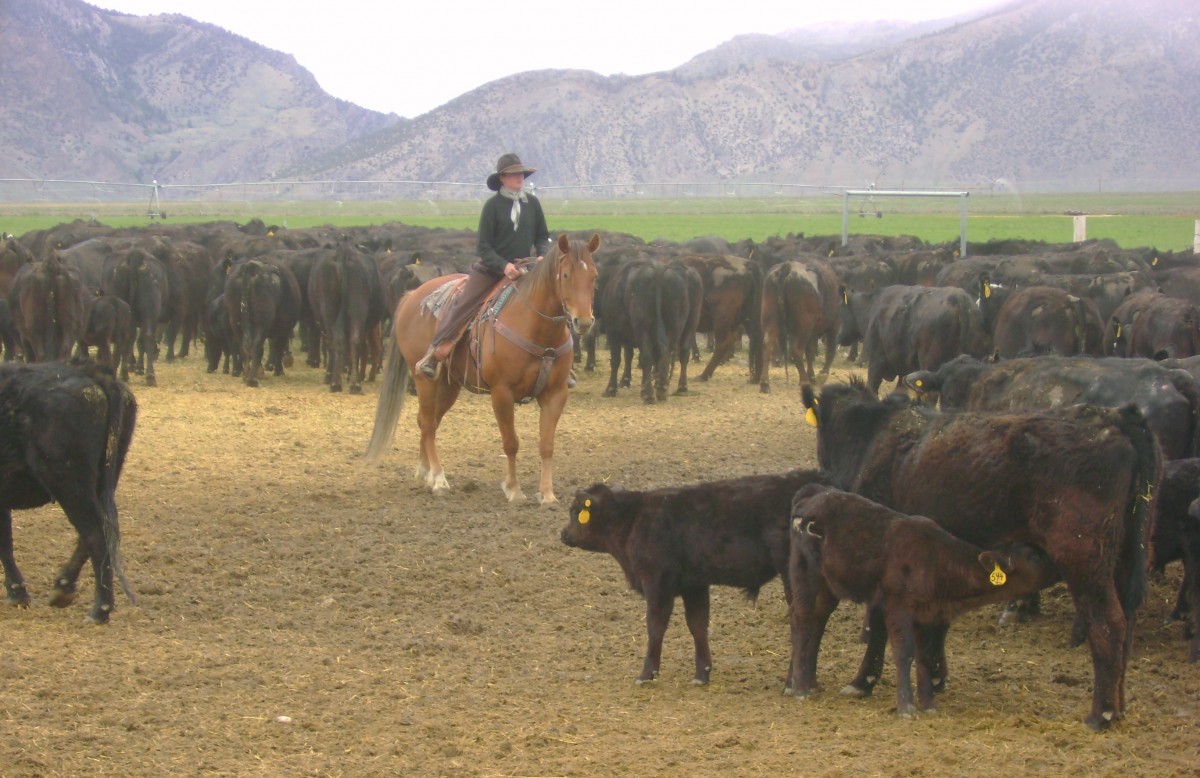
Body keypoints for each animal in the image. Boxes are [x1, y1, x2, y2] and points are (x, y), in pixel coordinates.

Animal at [0, 360, 137, 624]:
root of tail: (92, 374)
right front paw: (17, 593)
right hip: (101, 481)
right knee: (93, 533)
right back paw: (63, 587)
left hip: (68, 484)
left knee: (94, 533)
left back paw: (99, 609)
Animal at [360, 234, 595, 504]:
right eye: (565, 275)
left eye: (594, 275)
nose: (583, 321)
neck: (536, 328)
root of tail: (412, 295)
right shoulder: (502, 393)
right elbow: (511, 442)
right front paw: (513, 489)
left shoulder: (555, 394)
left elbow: (547, 445)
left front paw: (547, 494)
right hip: (424, 380)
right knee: (428, 423)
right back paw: (438, 478)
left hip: (449, 385)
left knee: (428, 421)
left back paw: (425, 471)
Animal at [556, 468, 830, 681]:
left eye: (574, 512)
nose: (563, 534)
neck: (633, 520)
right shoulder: (694, 585)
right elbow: (698, 624)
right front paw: (702, 672)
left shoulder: (657, 583)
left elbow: (655, 626)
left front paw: (647, 673)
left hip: (792, 574)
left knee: (800, 619)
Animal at [792, 485, 1056, 715]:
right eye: (1034, 557)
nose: (1056, 562)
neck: (935, 559)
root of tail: (811, 498)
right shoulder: (898, 608)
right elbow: (904, 652)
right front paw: (906, 707)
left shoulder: (929, 615)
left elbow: (926, 658)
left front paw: (928, 704)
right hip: (806, 575)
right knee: (802, 621)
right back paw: (799, 688)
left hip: (828, 587)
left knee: (818, 622)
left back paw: (808, 682)